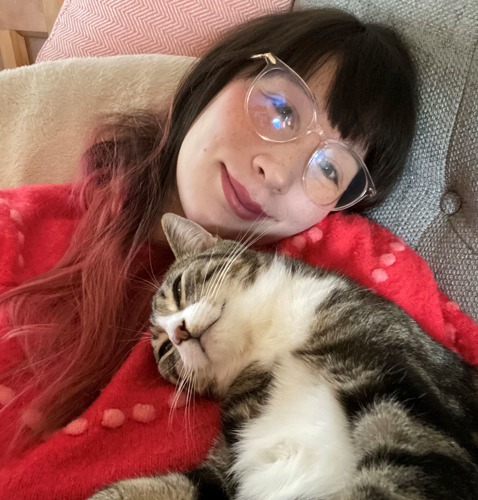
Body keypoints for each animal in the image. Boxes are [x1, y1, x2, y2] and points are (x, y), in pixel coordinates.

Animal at [89, 215, 478, 500]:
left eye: (179, 288)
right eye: (166, 350)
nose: (179, 332)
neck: (269, 341)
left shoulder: (401, 384)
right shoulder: (227, 467)